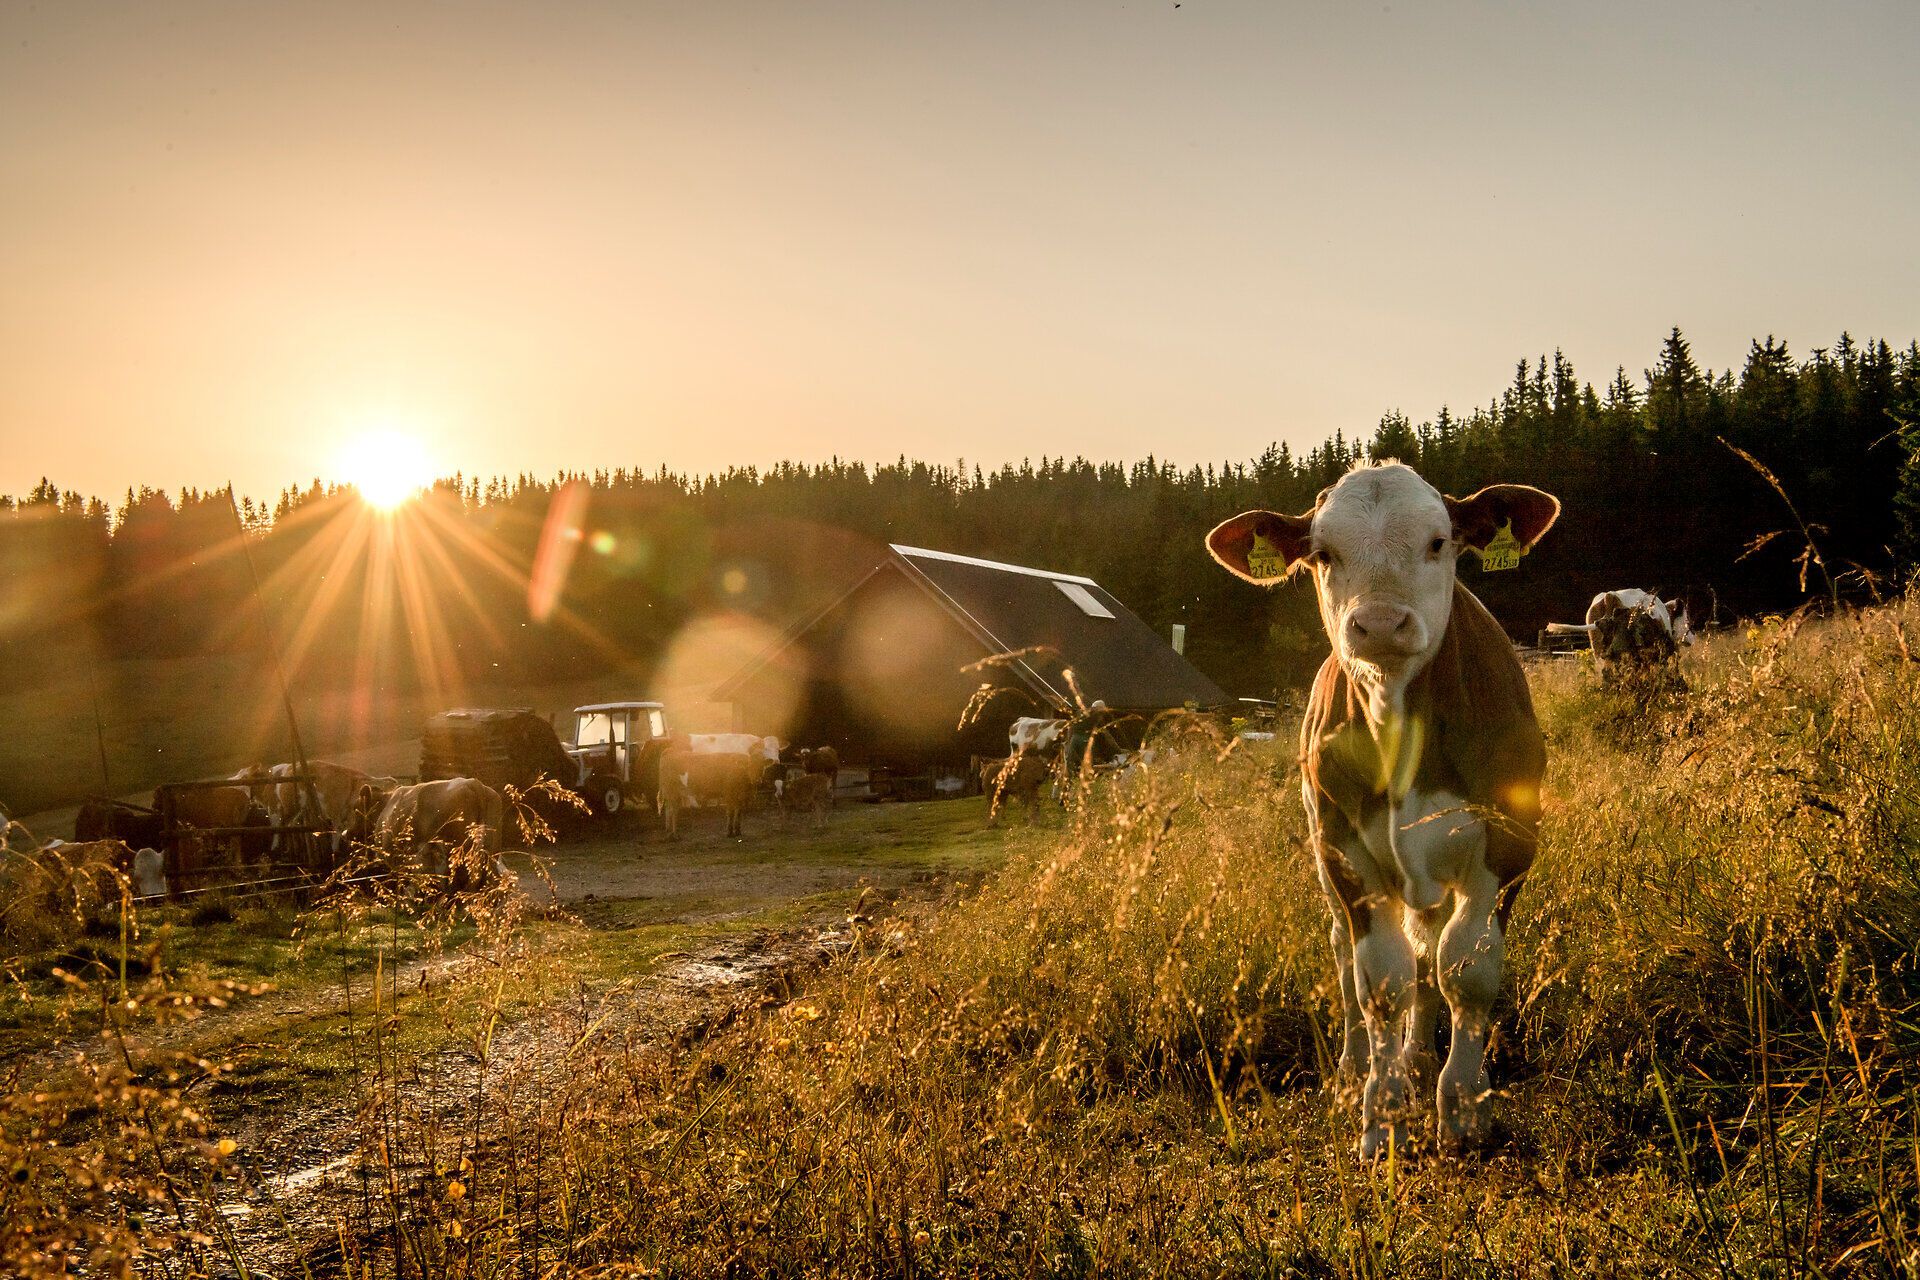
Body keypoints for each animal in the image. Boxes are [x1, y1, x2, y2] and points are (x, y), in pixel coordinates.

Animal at [1207, 461, 1559, 1158]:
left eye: (1438, 541)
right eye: (1323, 554)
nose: (1378, 623)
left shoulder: (1507, 843)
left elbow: (1464, 969)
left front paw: (1463, 1110)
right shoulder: (1344, 853)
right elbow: (1381, 982)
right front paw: (1381, 1112)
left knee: (1429, 955)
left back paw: (1421, 1058)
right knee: (1349, 956)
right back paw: (1355, 1069)